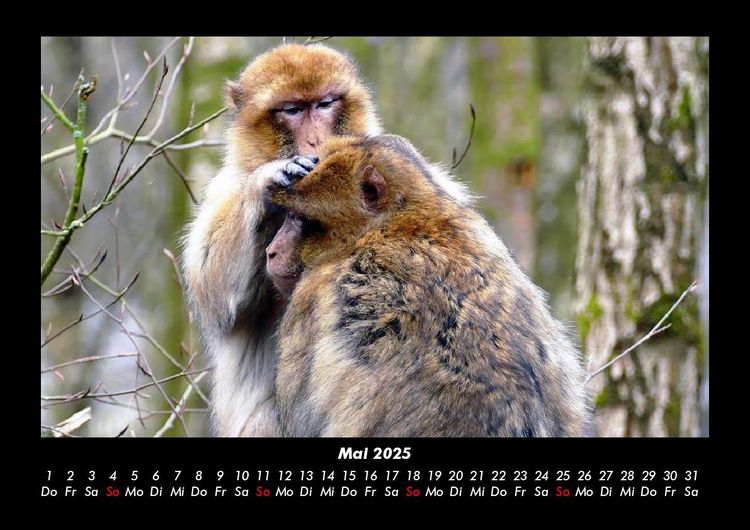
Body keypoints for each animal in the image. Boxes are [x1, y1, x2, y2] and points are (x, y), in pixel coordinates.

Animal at [181, 43, 471, 436]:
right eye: (292, 110)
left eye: (324, 104)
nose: (316, 140)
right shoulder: (225, 186)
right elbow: (210, 285)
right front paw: (265, 182)